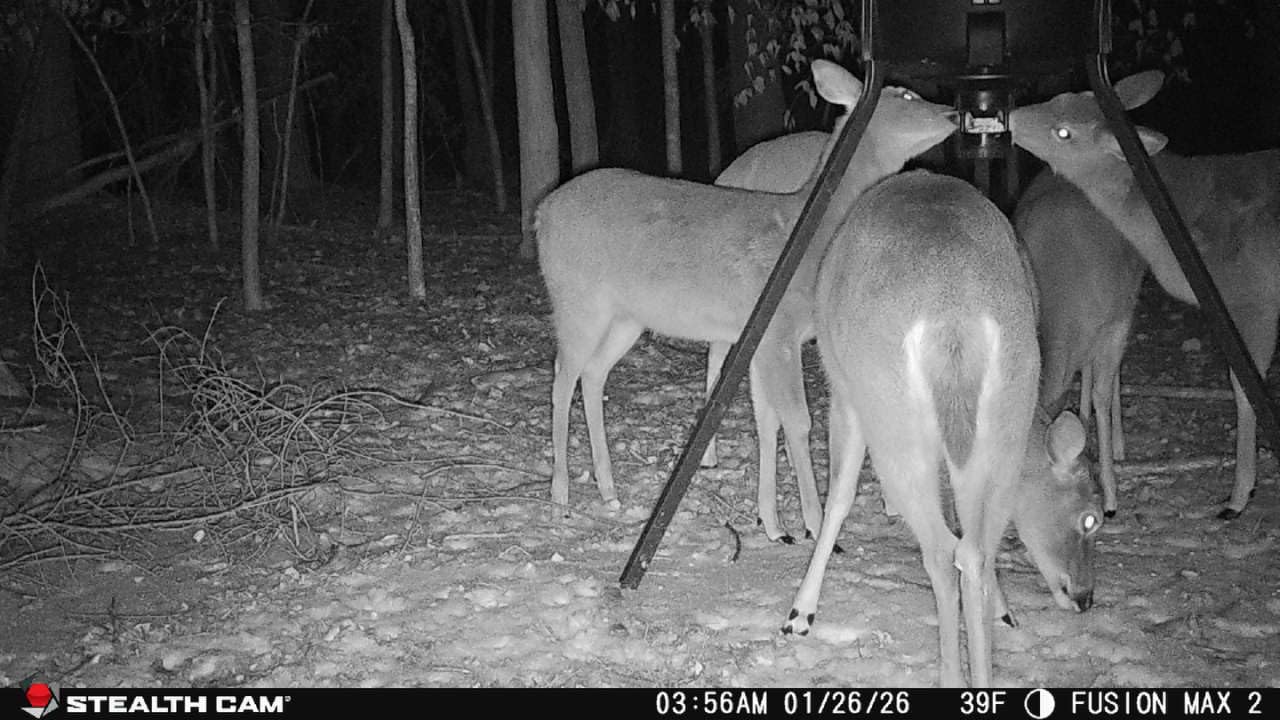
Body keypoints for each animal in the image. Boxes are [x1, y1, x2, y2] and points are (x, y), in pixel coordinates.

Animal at [535, 61, 958, 542]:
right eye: (904, 95)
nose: (952, 112)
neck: (810, 231)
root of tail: (542, 212)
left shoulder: (758, 339)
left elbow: (766, 420)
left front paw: (773, 523)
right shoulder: (778, 329)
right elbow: (798, 420)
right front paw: (814, 524)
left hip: (626, 317)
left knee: (592, 373)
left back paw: (608, 489)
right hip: (577, 298)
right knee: (562, 376)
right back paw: (561, 493)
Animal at [781, 170, 1102, 687]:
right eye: (1090, 517)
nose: (1085, 598)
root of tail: (954, 322)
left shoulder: (844, 390)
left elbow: (840, 498)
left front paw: (800, 614)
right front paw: (1004, 611)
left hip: (892, 422)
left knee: (940, 549)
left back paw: (951, 675)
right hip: (1005, 427)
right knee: (974, 550)